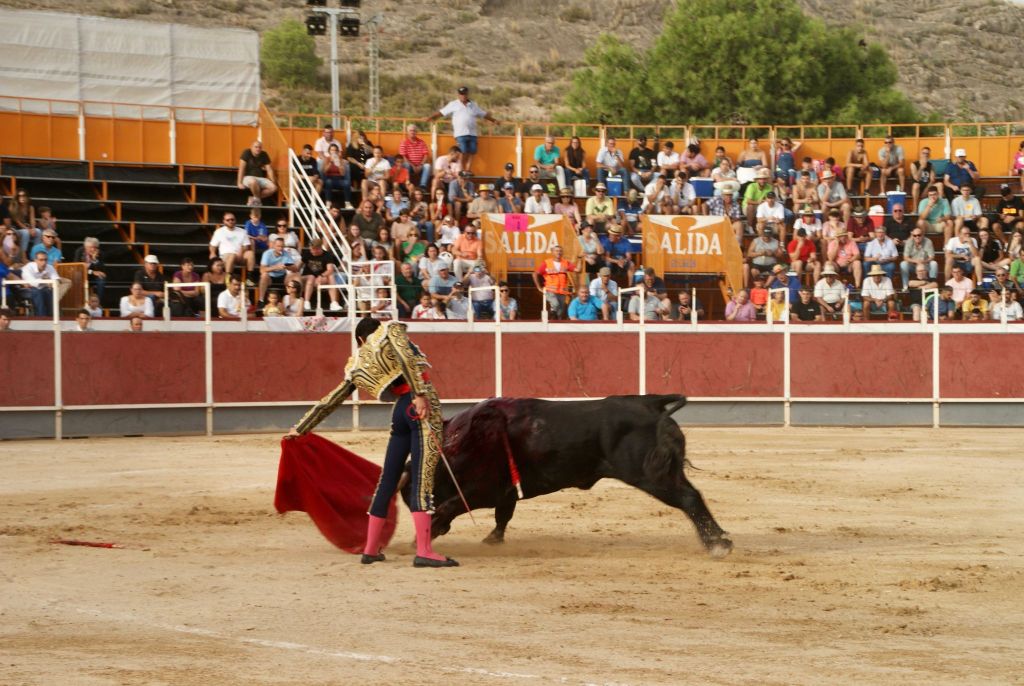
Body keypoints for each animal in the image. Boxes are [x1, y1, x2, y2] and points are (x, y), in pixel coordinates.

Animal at [409, 394, 732, 558]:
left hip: (650, 475)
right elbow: (503, 515)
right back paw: (719, 539)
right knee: (695, 496)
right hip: (667, 470)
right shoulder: (506, 491)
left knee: (688, 498)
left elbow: (451, 505)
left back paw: (716, 544)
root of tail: (649, 403)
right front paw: (492, 539)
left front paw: (423, 535)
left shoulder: (485, 488)